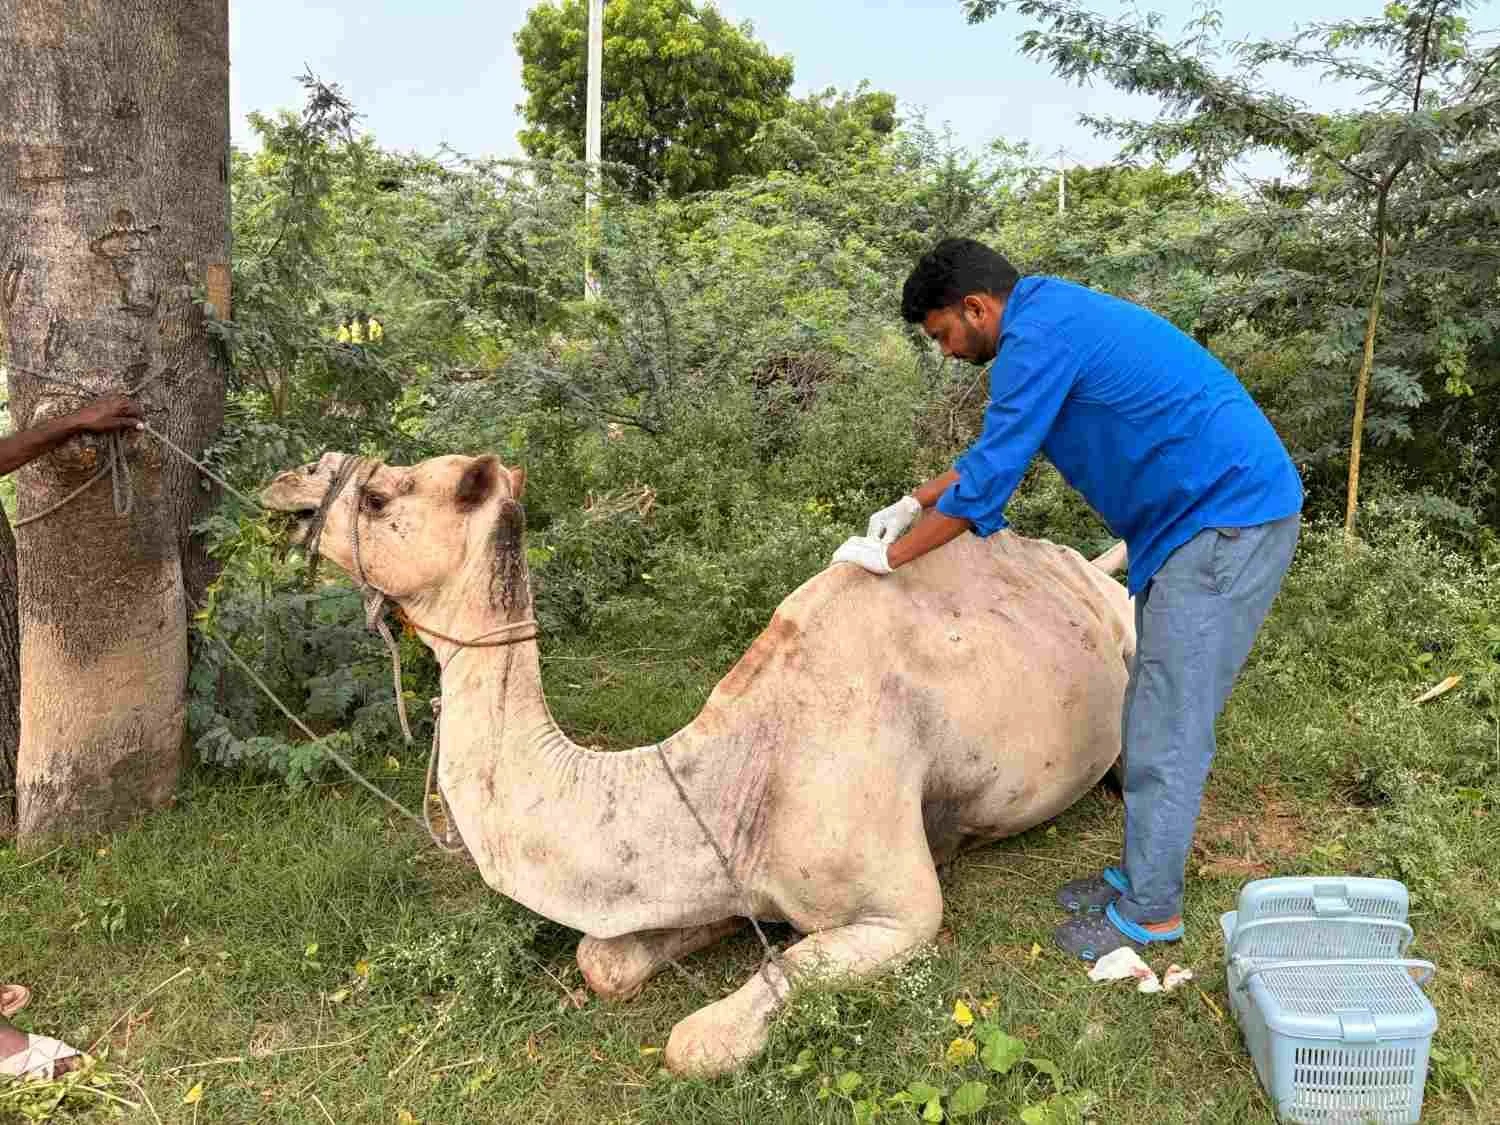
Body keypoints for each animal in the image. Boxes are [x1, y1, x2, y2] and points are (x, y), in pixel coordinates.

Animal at [261, 451, 1135, 1077]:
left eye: (384, 494)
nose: (292, 477)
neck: (736, 772)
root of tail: (1088, 568)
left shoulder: (902, 910)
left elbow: (701, 1039)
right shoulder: (720, 872)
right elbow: (601, 958)